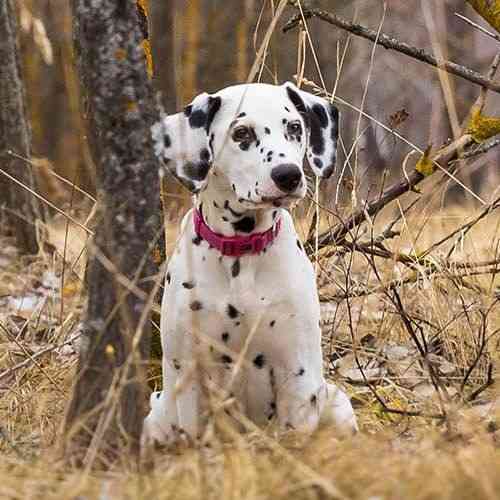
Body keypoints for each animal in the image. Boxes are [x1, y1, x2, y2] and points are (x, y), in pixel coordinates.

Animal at [143, 82, 358, 446]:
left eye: (295, 127)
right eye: (241, 133)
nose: (288, 175)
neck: (240, 254)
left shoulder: (296, 371)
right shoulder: (190, 373)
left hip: (335, 400)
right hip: (158, 415)